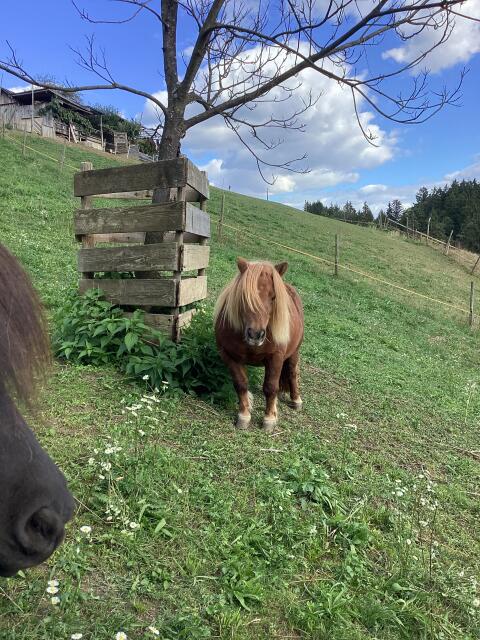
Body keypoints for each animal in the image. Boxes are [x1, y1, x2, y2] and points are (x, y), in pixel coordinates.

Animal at [214, 257, 304, 433]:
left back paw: (296, 400)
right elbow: (241, 384)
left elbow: (270, 387)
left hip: (294, 353)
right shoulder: (229, 356)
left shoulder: (275, 357)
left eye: (273, 297)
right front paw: (244, 416)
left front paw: (269, 419)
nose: (255, 334)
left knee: (292, 373)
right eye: (244, 296)